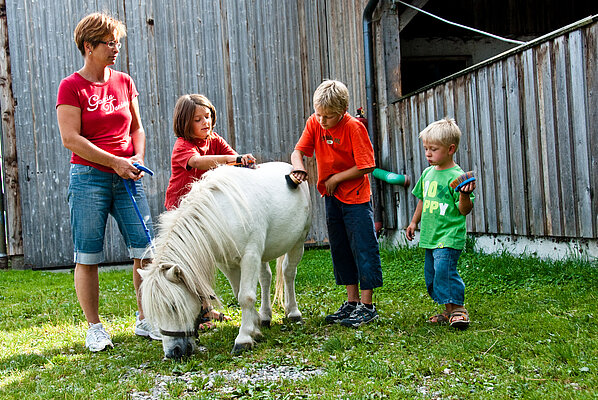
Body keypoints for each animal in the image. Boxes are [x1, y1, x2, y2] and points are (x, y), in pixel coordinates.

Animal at [139, 161, 312, 358]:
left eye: (173, 306)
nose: (173, 353)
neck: (220, 213)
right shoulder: (227, 263)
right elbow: (239, 294)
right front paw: (255, 326)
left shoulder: (250, 256)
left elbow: (246, 296)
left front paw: (243, 338)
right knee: (266, 278)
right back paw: (265, 315)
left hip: (298, 242)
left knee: (288, 273)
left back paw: (293, 313)